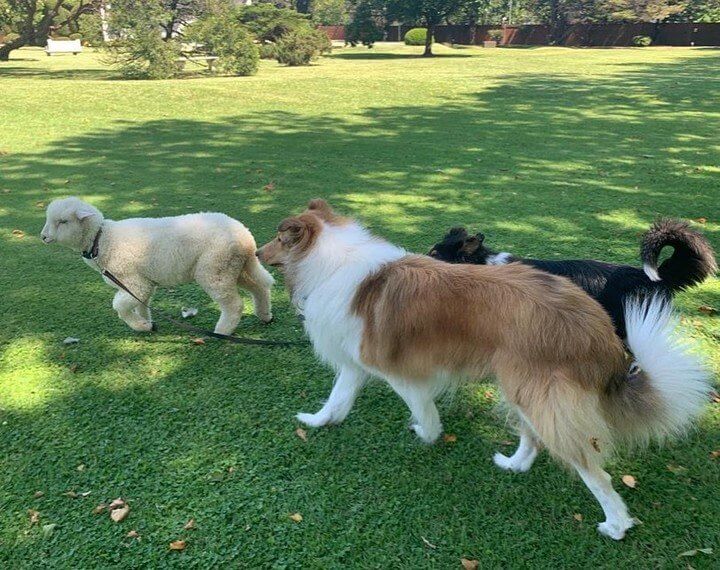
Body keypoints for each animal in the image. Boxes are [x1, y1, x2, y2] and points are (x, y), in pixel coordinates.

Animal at [41, 197, 274, 335]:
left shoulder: (134, 282)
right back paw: (265, 316)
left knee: (234, 304)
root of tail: (246, 237)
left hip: (215, 269)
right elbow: (141, 305)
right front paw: (147, 324)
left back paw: (222, 331)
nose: (42, 237)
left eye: (62, 222)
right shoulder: (142, 283)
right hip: (235, 268)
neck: (101, 239)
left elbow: (120, 306)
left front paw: (140, 325)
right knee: (259, 288)